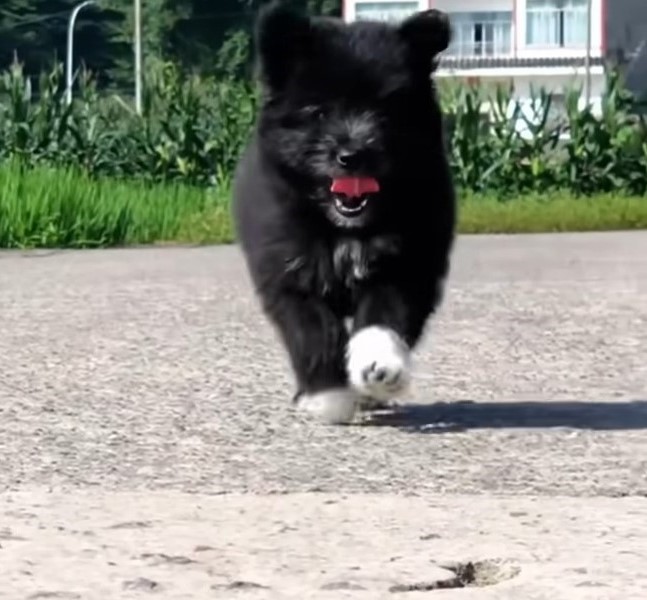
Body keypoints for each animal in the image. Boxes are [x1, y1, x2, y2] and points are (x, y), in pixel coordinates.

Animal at [233, 1, 456, 422]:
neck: (342, 229)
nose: (352, 155)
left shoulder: (405, 263)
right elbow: (313, 331)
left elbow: (384, 317)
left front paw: (379, 367)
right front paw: (328, 395)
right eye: (319, 112)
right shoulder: (288, 270)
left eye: (385, 114)